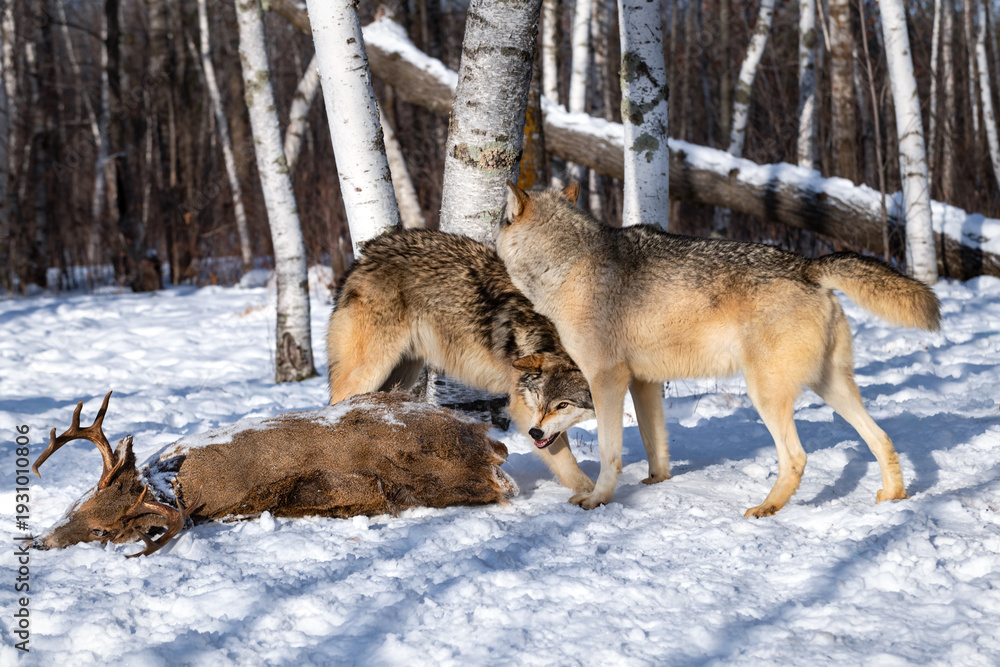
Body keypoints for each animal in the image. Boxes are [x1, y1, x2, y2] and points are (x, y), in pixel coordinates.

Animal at [326, 228, 596, 495]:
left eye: (563, 405)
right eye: (540, 398)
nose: (535, 432)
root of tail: (365, 255)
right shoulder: (523, 407)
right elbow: (565, 458)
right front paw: (591, 493)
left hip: (401, 374)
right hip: (370, 371)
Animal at [496, 182, 941, 516]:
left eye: (560, 406)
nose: (534, 432)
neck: (567, 265)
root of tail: (808, 266)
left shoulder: (608, 379)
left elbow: (610, 452)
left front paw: (598, 499)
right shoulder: (644, 382)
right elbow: (655, 443)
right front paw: (656, 482)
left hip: (766, 395)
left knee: (796, 457)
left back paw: (765, 508)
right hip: (829, 386)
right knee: (881, 437)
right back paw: (893, 497)